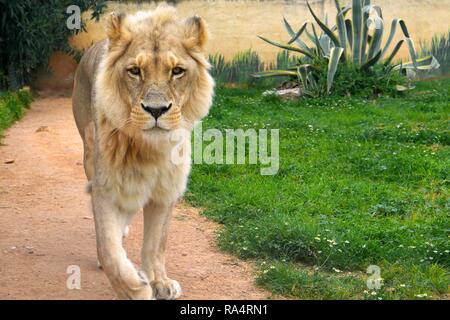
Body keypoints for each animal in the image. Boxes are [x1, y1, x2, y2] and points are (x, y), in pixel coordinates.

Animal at [71, 5, 214, 300]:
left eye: (177, 71)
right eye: (135, 71)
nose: (156, 110)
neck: (149, 149)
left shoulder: (166, 189)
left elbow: (156, 244)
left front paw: (159, 282)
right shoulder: (105, 186)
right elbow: (109, 249)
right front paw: (134, 289)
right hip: (89, 155)